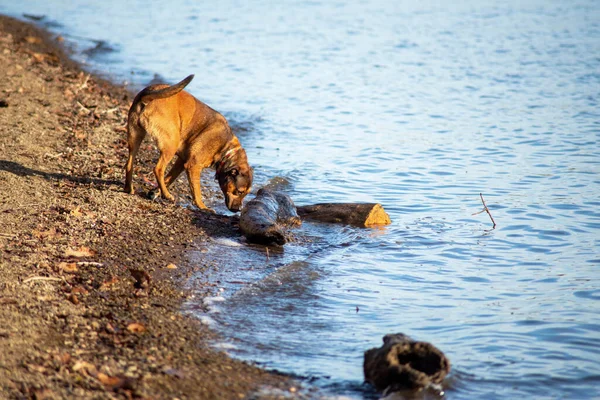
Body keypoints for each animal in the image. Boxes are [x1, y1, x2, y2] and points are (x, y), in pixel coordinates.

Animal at [123, 75, 252, 212]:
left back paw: (129, 188)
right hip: (171, 144)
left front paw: (155, 192)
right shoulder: (193, 165)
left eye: (246, 194)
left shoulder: (181, 162)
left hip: (135, 136)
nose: (239, 210)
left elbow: (170, 178)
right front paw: (202, 206)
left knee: (129, 163)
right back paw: (167, 195)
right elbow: (196, 191)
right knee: (158, 169)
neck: (227, 149)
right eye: (239, 192)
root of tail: (149, 96)